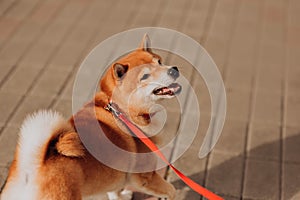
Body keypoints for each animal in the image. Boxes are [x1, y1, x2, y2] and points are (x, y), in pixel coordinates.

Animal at [0, 35, 180, 199]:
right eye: (145, 76)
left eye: (159, 62)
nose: (173, 69)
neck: (121, 110)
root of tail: (32, 168)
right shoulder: (145, 177)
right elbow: (171, 190)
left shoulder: (116, 173)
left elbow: (114, 191)